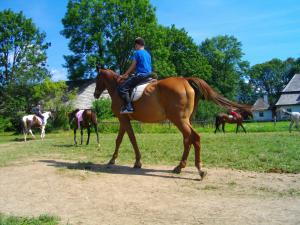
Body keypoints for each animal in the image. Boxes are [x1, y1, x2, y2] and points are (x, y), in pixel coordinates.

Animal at [93, 67, 251, 179]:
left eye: (97, 78)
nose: (95, 94)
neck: (117, 87)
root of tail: (185, 80)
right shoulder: (124, 120)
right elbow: (121, 139)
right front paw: (119, 160)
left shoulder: (123, 119)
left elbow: (129, 139)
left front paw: (121, 160)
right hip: (185, 120)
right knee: (188, 139)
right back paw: (180, 167)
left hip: (179, 119)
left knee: (194, 138)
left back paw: (198, 169)